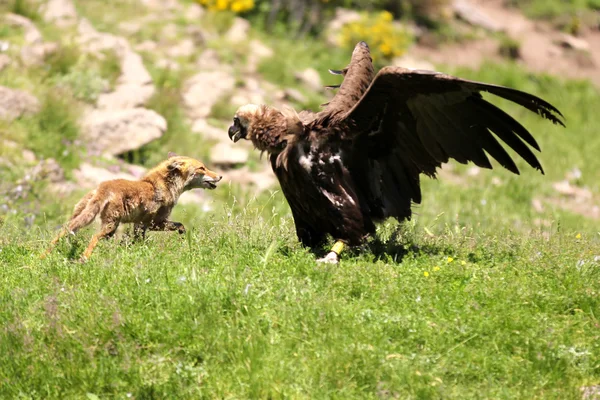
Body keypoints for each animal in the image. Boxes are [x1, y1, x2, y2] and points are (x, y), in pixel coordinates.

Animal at [42, 152, 223, 260]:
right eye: (202, 168)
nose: (220, 176)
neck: (163, 185)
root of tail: (103, 186)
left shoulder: (139, 224)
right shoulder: (154, 222)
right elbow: (180, 225)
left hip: (80, 219)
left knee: (61, 233)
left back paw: (42, 257)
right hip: (110, 226)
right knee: (93, 238)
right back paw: (84, 259)